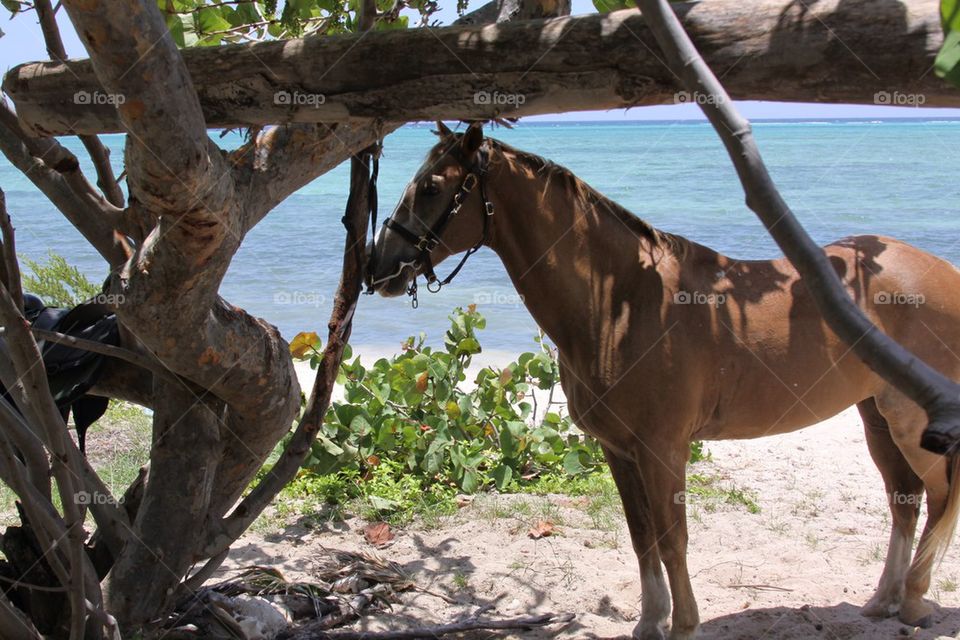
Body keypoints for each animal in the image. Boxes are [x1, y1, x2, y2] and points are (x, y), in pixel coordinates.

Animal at [367, 121, 960, 640]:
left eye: (433, 187)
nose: (379, 267)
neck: (622, 303)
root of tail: (943, 273)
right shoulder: (619, 450)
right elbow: (641, 536)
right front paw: (651, 621)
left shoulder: (662, 448)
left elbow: (674, 540)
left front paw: (685, 624)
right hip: (876, 414)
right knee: (904, 499)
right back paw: (883, 600)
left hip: (913, 424)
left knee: (940, 495)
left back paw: (913, 600)